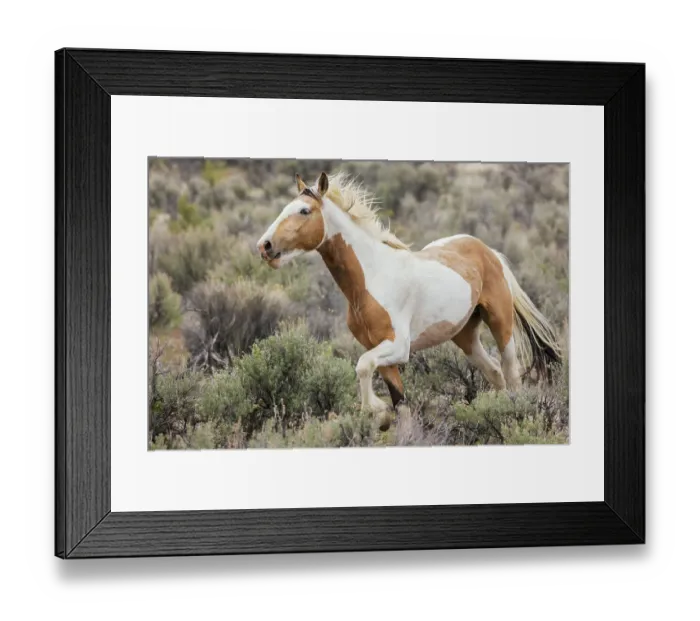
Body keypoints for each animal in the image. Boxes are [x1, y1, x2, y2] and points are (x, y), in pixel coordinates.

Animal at [257, 172, 561, 431]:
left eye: (304, 211)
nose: (264, 246)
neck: (372, 279)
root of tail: (488, 251)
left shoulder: (397, 347)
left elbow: (362, 366)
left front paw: (376, 410)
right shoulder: (380, 352)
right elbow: (399, 403)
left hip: (500, 323)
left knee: (511, 374)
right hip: (465, 335)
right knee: (495, 373)